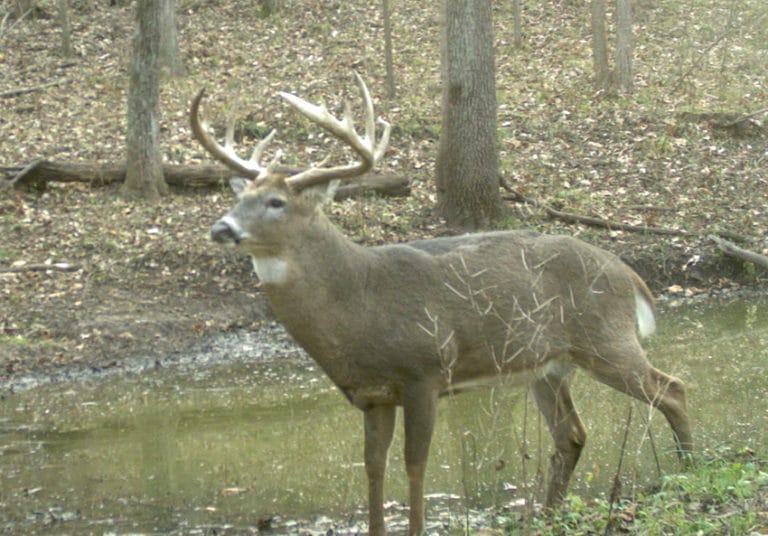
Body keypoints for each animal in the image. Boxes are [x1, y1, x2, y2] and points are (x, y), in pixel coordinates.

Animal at [191, 73, 692, 536]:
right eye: (240, 197)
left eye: (276, 201)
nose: (221, 228)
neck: (358, 303)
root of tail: (628, 273)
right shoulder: (371, 395)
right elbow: (373, 468)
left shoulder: (424, 371)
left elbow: (416, 465)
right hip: (549, 367)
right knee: (572, 434)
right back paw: (549, 516)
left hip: (605, 338)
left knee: (672, 388)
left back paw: (688, 473)